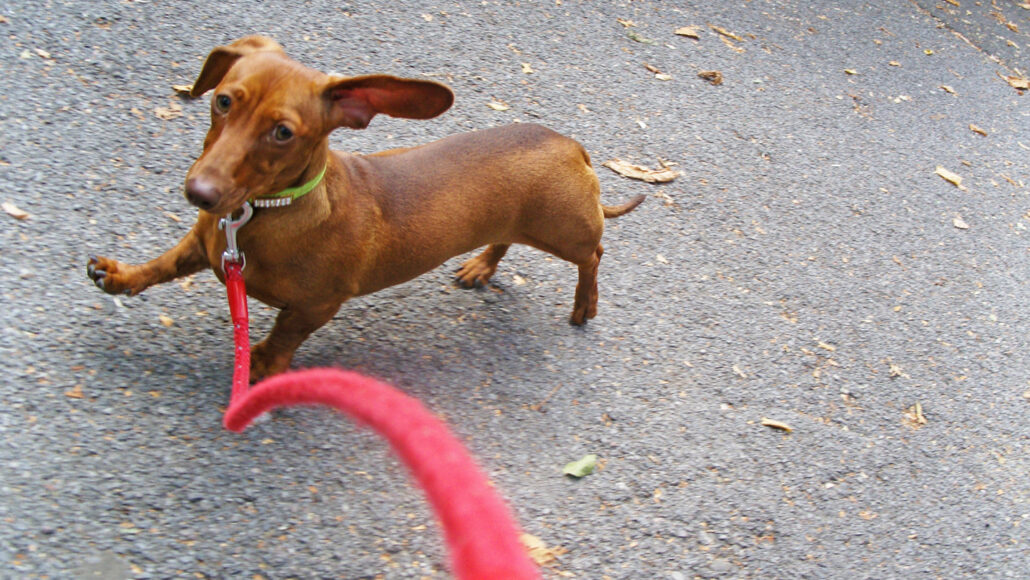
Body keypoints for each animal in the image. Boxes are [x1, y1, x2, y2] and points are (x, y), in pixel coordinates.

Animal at [86, 36, 642, 381]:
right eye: (223, 101)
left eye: (283, 132)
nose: (199, 193)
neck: (262, 214)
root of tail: (571, 145)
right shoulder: (202, 246)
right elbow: (159, 266)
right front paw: (120, 275)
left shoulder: (316, 306)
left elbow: (284, 335)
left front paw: (262, 363)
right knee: (505, 238)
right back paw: (481, 266)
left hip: (564, 232)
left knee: (594, 256)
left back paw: (584, 305)